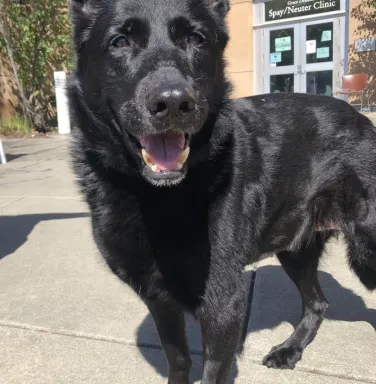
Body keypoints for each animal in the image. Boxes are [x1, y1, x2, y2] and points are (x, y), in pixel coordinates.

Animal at [67, 1, 376, 382]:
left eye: (196, 39)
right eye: (120, 41)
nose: (174, 104)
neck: (156, 198)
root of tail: (362, 120)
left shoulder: (223, 305)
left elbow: (213, 369)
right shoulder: (160, 300)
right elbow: (178, 360)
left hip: (366, 245)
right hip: (294, 246)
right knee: (318, 303)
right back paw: (289, 350)